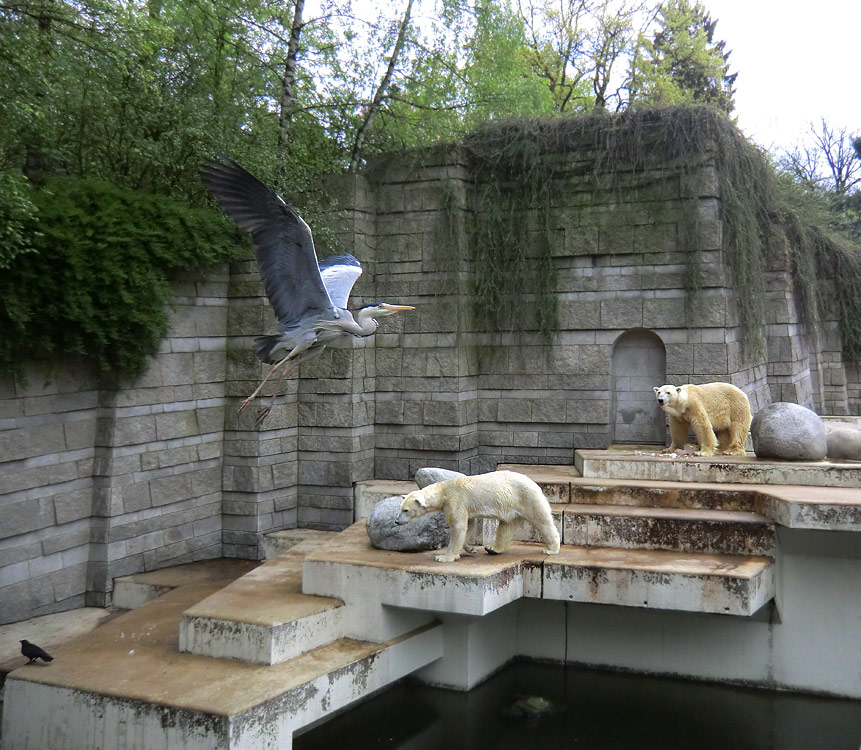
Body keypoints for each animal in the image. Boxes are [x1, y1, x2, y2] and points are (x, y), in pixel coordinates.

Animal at [400, 470, 560, 564]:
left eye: (406, 510)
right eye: (401, 508)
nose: (397, 521)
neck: (443, 490)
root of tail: (534, 483)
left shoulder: (455, 500)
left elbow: (458, 526)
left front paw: (444, 557)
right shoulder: (464, 506)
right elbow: (469, 525)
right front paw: (470, 548)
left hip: (526, 497)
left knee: (542, 520)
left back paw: (551, 549)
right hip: (512, 506)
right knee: (506, 526)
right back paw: (493, 548)